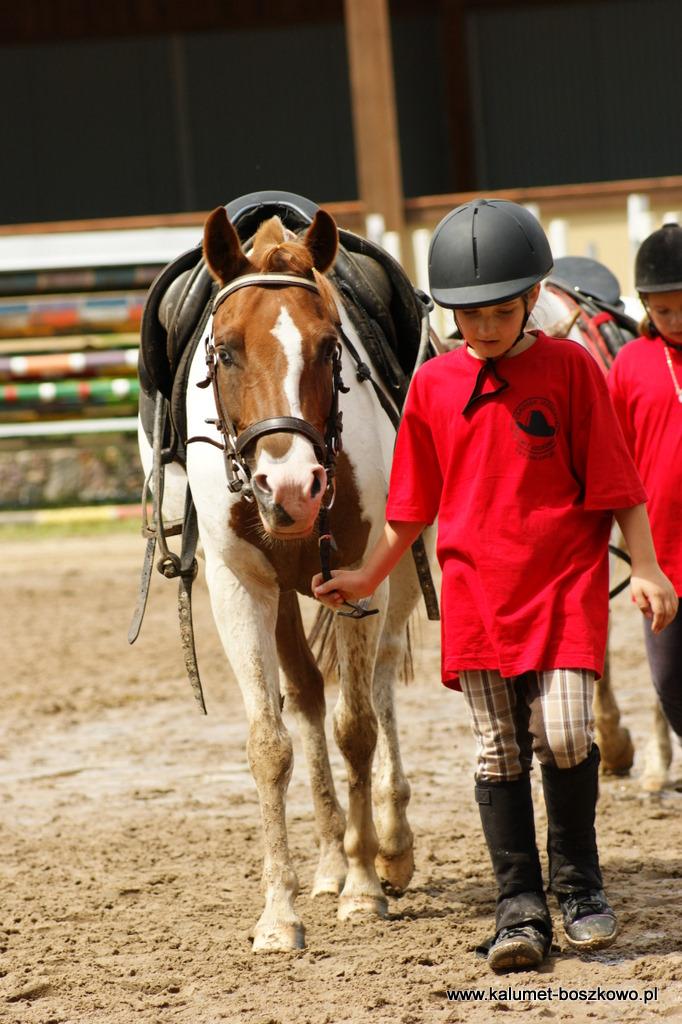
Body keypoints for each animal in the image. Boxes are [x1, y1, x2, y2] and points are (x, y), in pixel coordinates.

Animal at [132, 194, 436, 952]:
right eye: (225, 351)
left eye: (330, 348)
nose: (291, 486)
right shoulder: (242, 587)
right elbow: (269, 744)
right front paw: (279, 914)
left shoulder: (359, 571)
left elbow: (357, 726)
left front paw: (363, 889)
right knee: (304, 696)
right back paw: (329, 860)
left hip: (396, 580)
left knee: (379, 681)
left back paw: (387, 846)